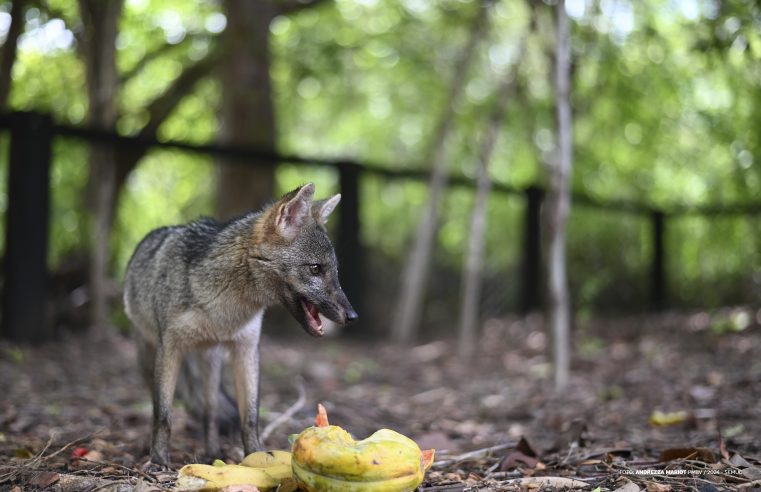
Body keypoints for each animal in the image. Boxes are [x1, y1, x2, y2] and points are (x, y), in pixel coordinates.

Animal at [124, 182, 356, 466]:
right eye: (315, 269)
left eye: (335, 272)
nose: (352, 316)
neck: (223, 311)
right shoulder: (170, 348)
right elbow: (163, 415)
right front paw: (158, 460)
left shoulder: (247, 348)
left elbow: (251, 417)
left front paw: (257, 455)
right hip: (150, 361)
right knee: (164, 406)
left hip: (211, 364)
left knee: (210, 411)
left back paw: (212, 451)